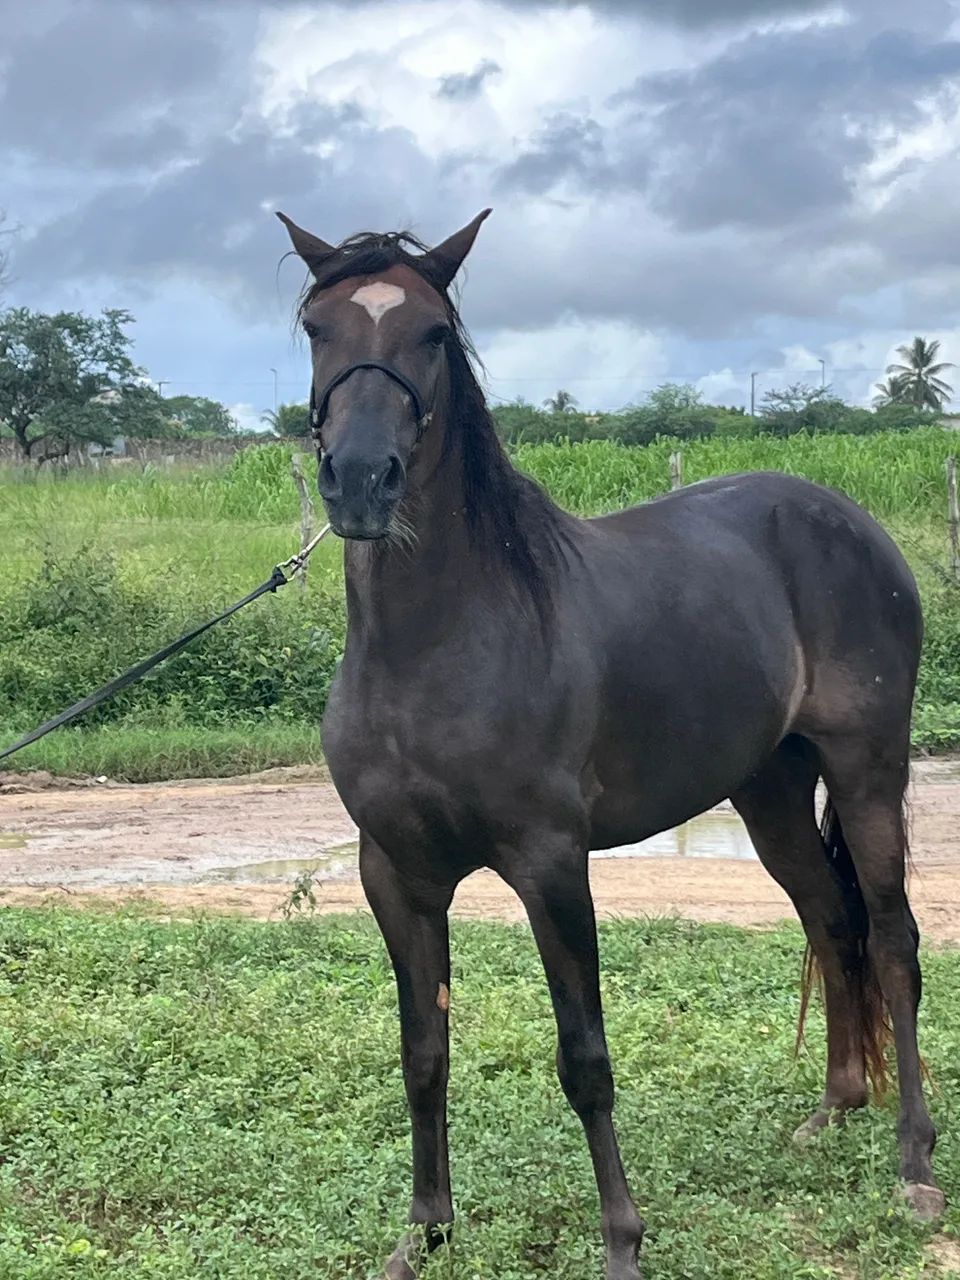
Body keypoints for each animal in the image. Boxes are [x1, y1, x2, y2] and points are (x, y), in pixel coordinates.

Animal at [277, 208, 942, 1279]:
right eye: (316, 327)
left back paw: (914, 1164)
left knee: (891, 939)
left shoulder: (551, 864)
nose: (361, 482)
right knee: (828, 921)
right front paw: (425, 1232)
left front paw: (623, 1241)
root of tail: (851, 522)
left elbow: (585, 1058)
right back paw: (834, 1112)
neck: (441, 642)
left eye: (432, 332)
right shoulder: (396, 874)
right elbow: (424, 1055)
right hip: (769, 791)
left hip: (868, 768)